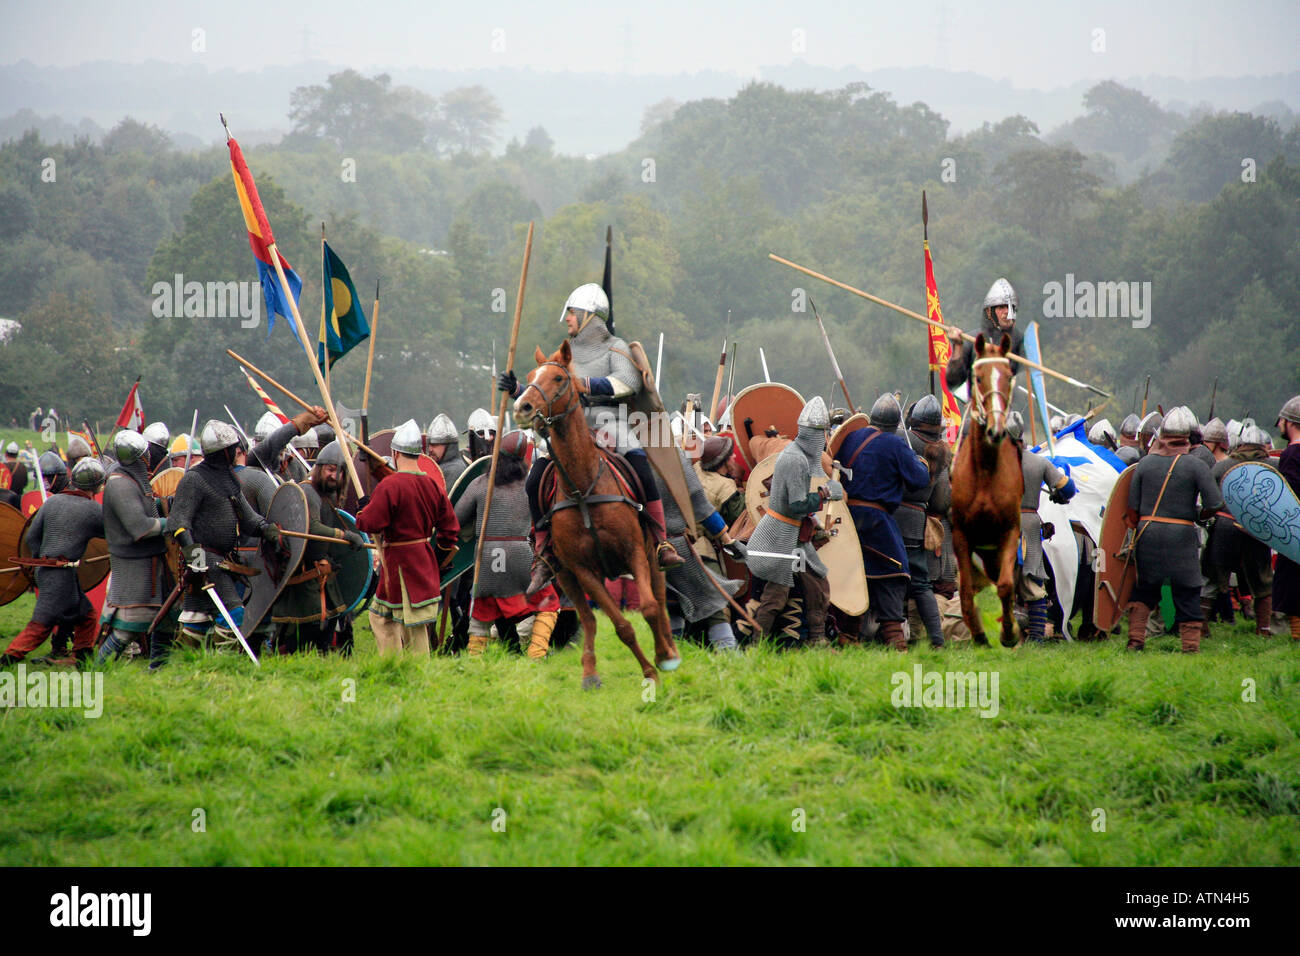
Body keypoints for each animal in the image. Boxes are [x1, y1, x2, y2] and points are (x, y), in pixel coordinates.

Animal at [514, 343, 686, 686]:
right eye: (530, 376)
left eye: (558, 378)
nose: (523, 408)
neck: (583, 489)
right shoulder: (582, 570)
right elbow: (620, 625)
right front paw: (648, 670)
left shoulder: (635, 552)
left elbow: (649, 608)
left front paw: (662, 659)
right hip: (564, 576)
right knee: (588, 617)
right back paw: (590, 672)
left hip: (653, 557)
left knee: (660, 602)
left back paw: (669, 650)